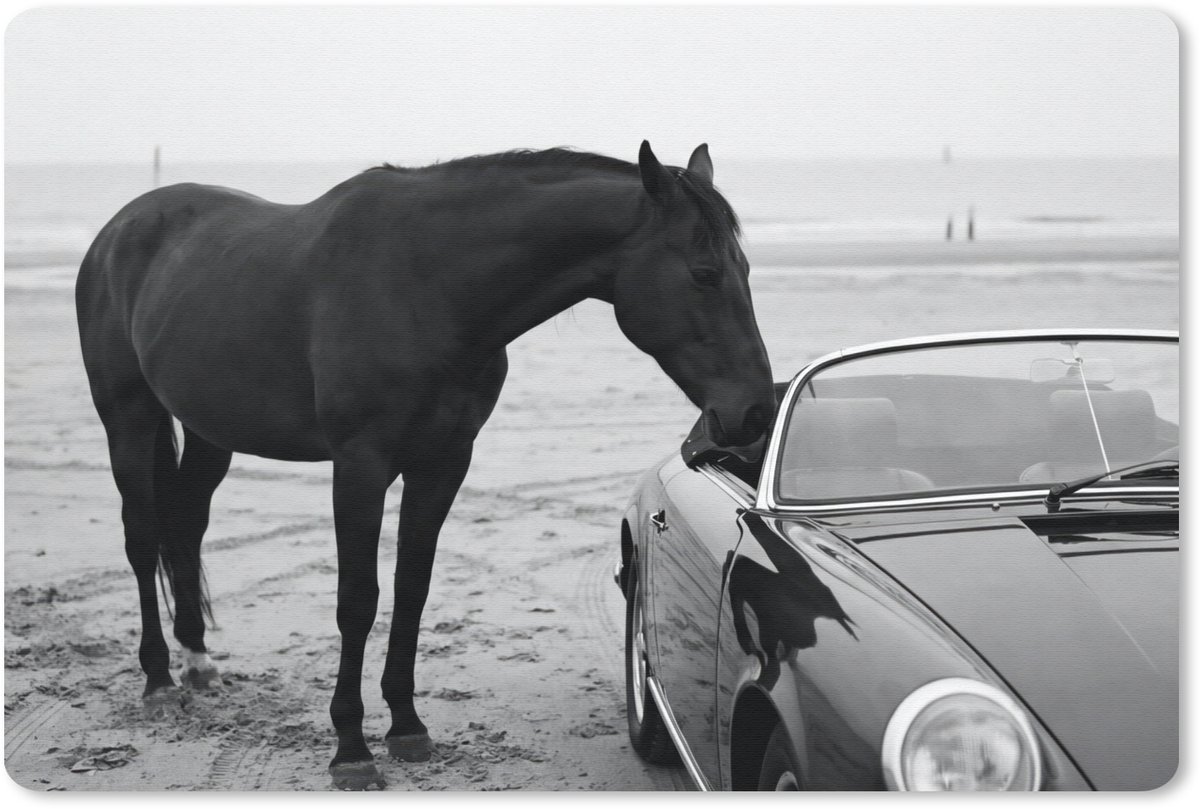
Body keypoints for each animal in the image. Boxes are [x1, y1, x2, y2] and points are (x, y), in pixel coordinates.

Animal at [76, 141, 775, 789]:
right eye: (704, 273)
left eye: (744, 268)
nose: (754, 413)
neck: (426, 285)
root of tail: (120, 229)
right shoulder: (359, 466)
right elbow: (358, 600)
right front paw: (351, 749)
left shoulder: (441, 463)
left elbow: (412, 587)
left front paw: (406, 728)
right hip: (128, 419)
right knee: (142, 537)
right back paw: (159, 681)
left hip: (208, 431)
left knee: (186, 524)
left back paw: (196, 660)